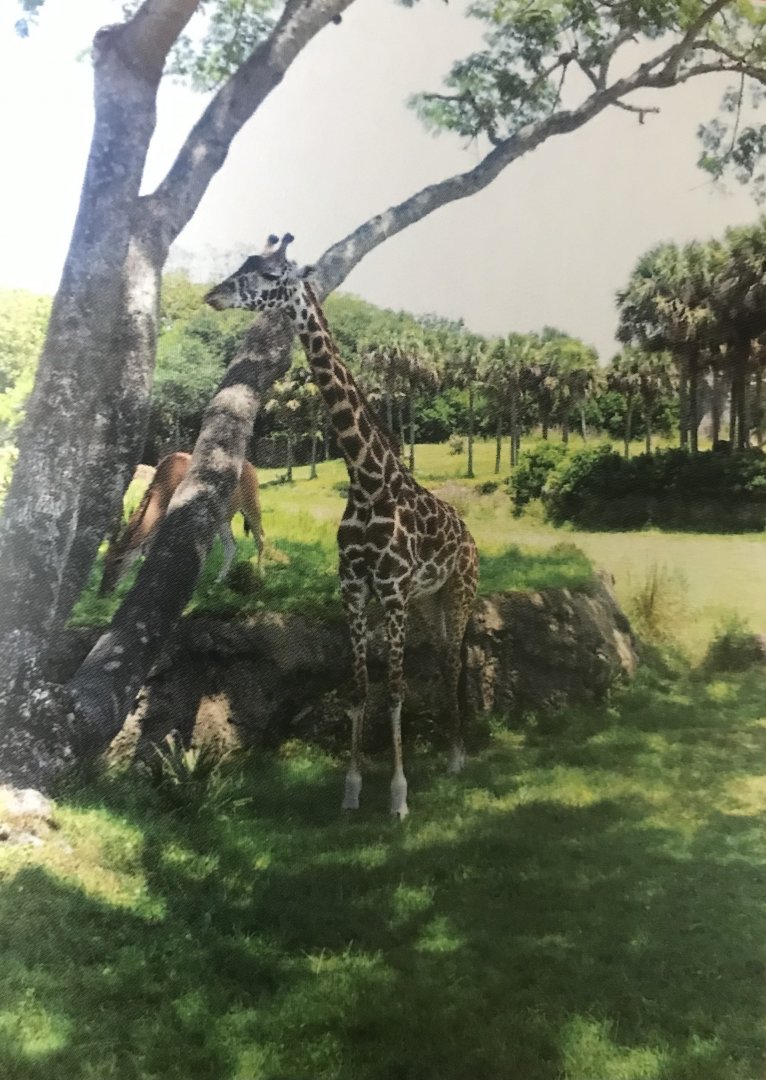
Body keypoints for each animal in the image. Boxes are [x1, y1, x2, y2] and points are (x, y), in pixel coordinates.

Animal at [205, 233, 479, 817]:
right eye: (243, 263)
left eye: (268, 274)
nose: (213, 295)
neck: (366, 477)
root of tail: (469, 535)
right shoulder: (354, 587)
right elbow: (358, 688)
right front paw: (352, 791)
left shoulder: (392, 590)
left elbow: (394, 689)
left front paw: (398, 797)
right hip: (429, 600)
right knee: (443, 656)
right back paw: (450, 752)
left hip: (460, 589)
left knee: (453, 661)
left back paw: (456, 756)